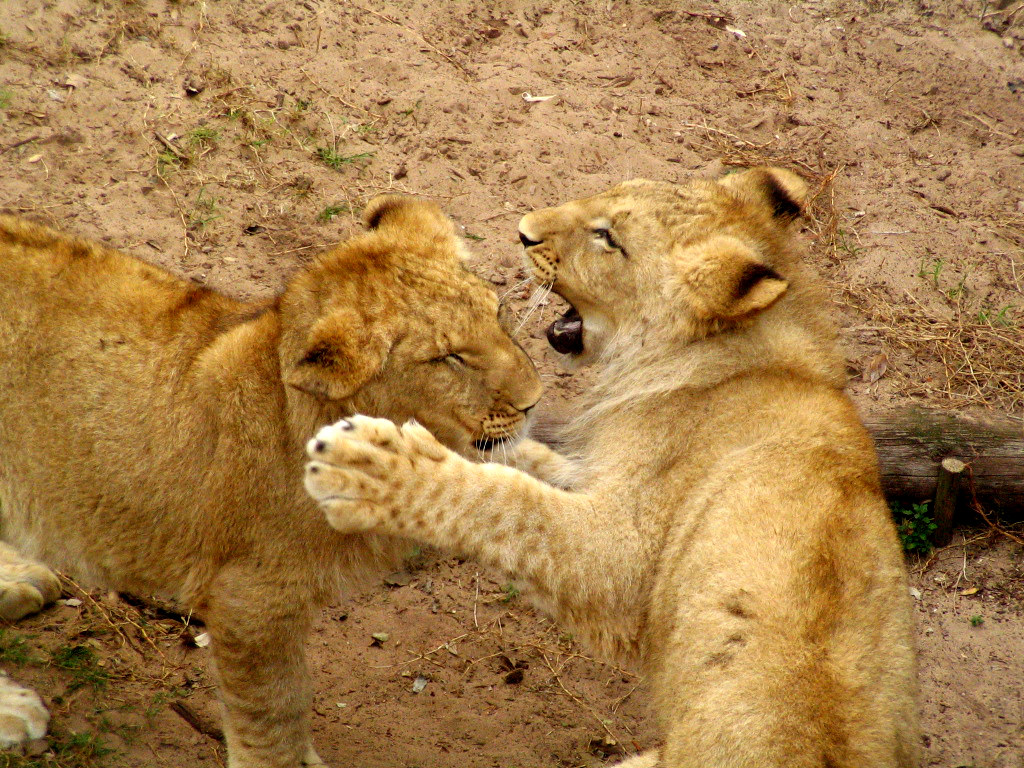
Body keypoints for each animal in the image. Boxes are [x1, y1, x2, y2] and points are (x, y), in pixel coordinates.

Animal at [303, 168, 921, 767]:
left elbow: (506, 505)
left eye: (609, 238)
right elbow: (526, 465)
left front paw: (374, 465)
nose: (524, 232)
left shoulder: (624, 555)